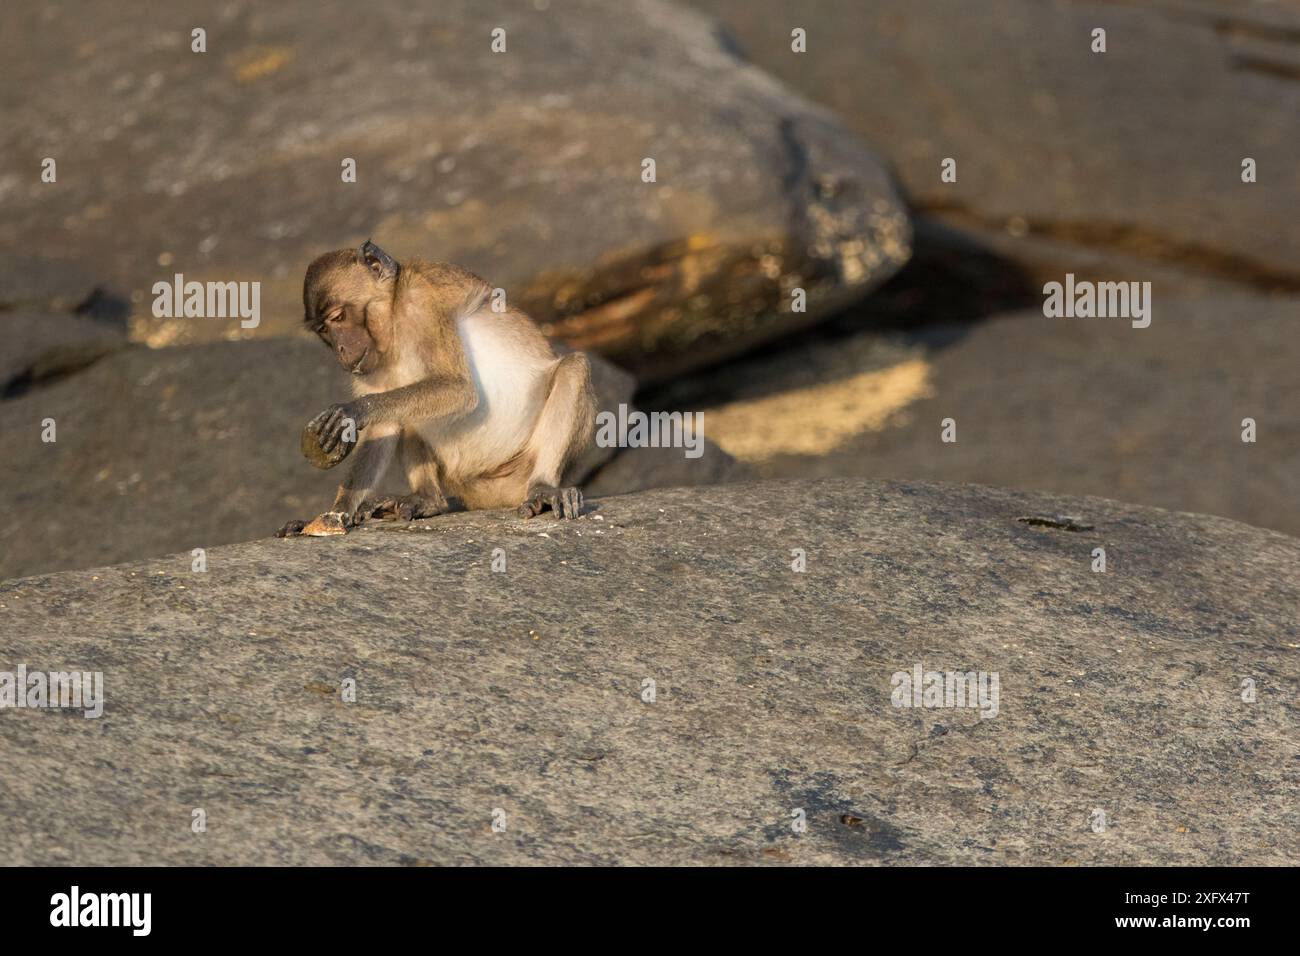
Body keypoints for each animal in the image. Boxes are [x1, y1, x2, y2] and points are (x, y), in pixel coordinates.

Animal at [279, 240, 598, 538]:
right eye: (324, 330)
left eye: (337, 317)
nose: (341, 349)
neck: (394, 318)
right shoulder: (371, 361)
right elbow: (384, 426)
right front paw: (335, 513)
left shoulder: (422, 303)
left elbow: (459, 389)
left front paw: (352, 413)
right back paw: (427, 500)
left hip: (519, 472)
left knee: (574, 367)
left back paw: (543, 488)